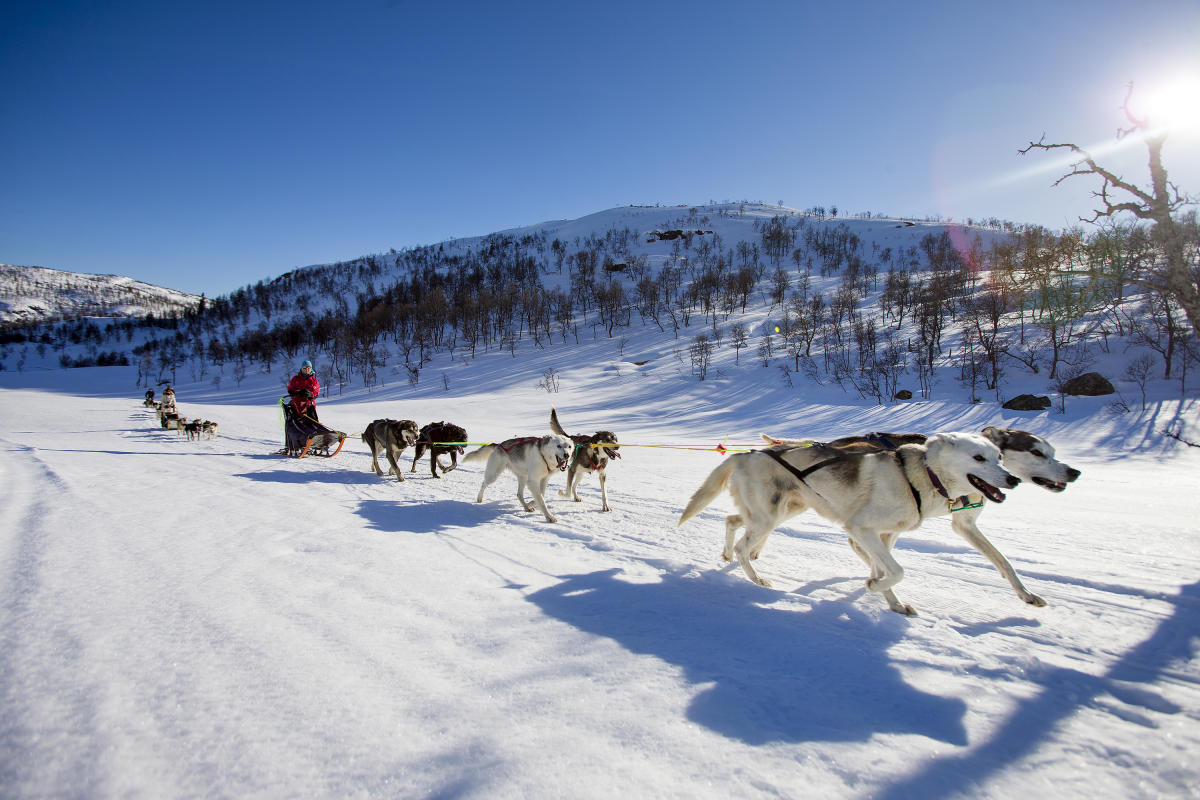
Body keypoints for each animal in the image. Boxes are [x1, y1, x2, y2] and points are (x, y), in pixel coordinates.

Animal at [681, 434, 1017, 618]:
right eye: (978, 457)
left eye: (999, 456)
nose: (1013, 478)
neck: (918, 476)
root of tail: (745, 455)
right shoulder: (862, 530)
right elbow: (896, 572)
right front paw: (873, 587)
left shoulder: (885, 536)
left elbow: (884, 570)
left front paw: (893, 604)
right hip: (768, 518)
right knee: (743, 546)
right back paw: (757, 580)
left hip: (779, 513)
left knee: (732, 522)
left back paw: (728, 555)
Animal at [758, 424, 1080, 606]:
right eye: (1037, 452)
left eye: (1051, 452)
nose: (1074, 472)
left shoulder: (964, 524)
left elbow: (1003, 562)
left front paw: (1026, 594)